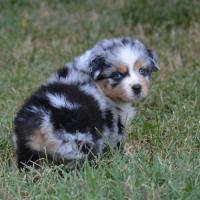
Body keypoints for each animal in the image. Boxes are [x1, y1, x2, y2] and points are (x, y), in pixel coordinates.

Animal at [12, 37, 159, 169]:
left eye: (142, 71)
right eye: (117, 75)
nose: (137, 87)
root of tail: (45, 120)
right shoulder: (116, 123)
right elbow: (117, 142)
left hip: (25, 145)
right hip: (77, 144)